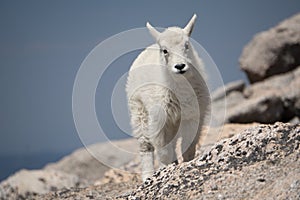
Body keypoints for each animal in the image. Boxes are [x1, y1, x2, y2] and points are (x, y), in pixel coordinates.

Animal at [125, 14, 210, 181]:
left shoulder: (192, 115)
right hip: (139, 111)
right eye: (165, 50)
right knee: (145, 145)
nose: (180, 66)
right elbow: (163, 150)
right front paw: (166, 168)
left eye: (186, 45)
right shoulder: (158, 118)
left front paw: (186, 163)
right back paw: (148, 177)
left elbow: (187, 146)